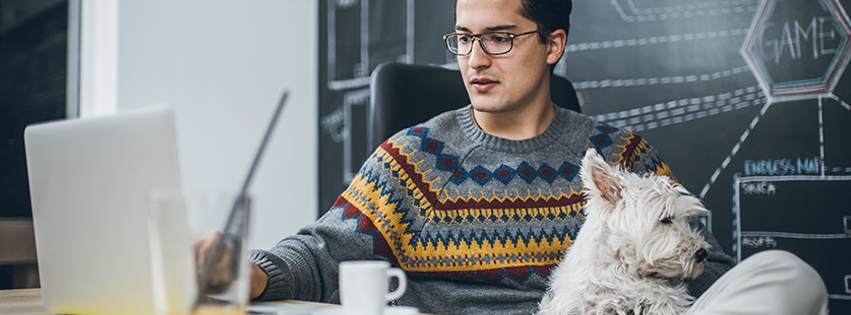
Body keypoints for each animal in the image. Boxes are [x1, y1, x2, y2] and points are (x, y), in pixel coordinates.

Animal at [540, 149, 712, 315]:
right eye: (666, 219)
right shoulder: (570, 304)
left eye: (687, 220)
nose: (702, 253)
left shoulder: (667, 299)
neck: (620, 269)